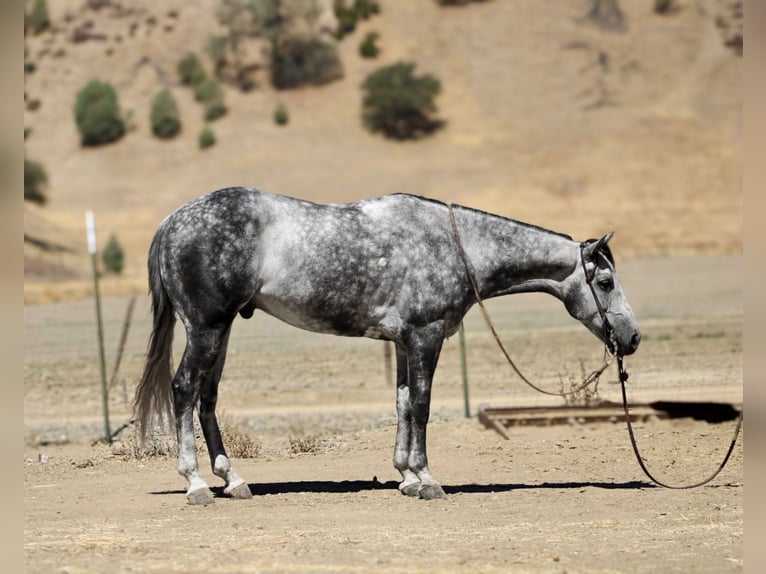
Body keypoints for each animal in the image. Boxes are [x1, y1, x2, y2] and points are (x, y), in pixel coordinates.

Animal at [135, 187, 640, 505]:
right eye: (606, 282)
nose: (632, 338)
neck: (456, 245)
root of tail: (172, 222)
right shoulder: (425, 336)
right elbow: (421, 406)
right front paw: (427, 479)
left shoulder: (402, 342)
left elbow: (401, 404)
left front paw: (406, 477)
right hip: (206, 327)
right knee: (184, 389)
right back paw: (197, 485)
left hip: (220, 332)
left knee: (207, 398)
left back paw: (234, 480)